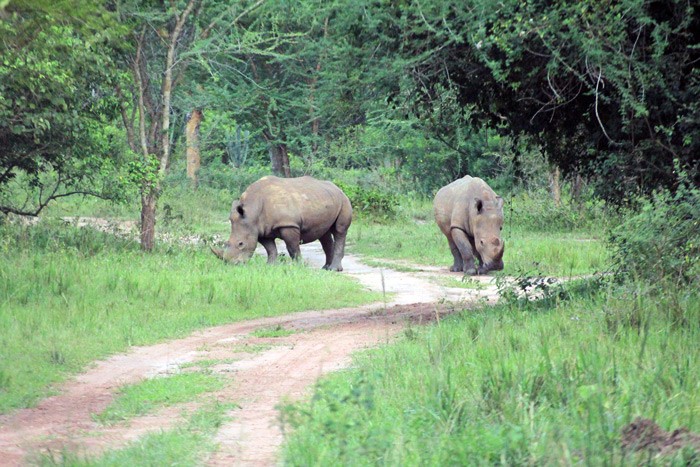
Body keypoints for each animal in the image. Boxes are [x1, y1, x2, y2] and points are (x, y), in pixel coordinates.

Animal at [209, 176, 352, 270]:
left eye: (241, 244)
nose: (233, 265)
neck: (252, 210)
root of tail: (338, 188)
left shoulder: (288, 224)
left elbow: (292, 248)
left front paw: (298, 268)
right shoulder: (261, 229)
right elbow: (270, 249)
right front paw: (270, 267)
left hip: (344, 200)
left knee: (339, 230)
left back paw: (334, 269)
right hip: (325, 199)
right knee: (324, 234)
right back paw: (326, 268)